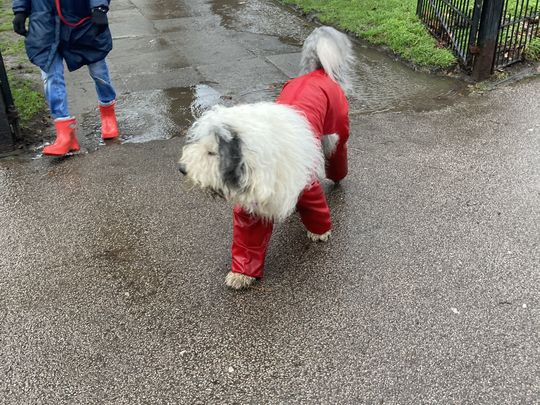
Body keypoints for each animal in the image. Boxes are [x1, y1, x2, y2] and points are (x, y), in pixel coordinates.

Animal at [178, 26, 354, 288]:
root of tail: (318, 71)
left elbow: (317, 209)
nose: (182, 169)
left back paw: (338, 176)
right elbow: (247, 242)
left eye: (212, 152)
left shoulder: (306, 182)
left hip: (337, 133)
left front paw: (320, 232)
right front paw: (242, 273)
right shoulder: (251, 206)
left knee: (338, 154)